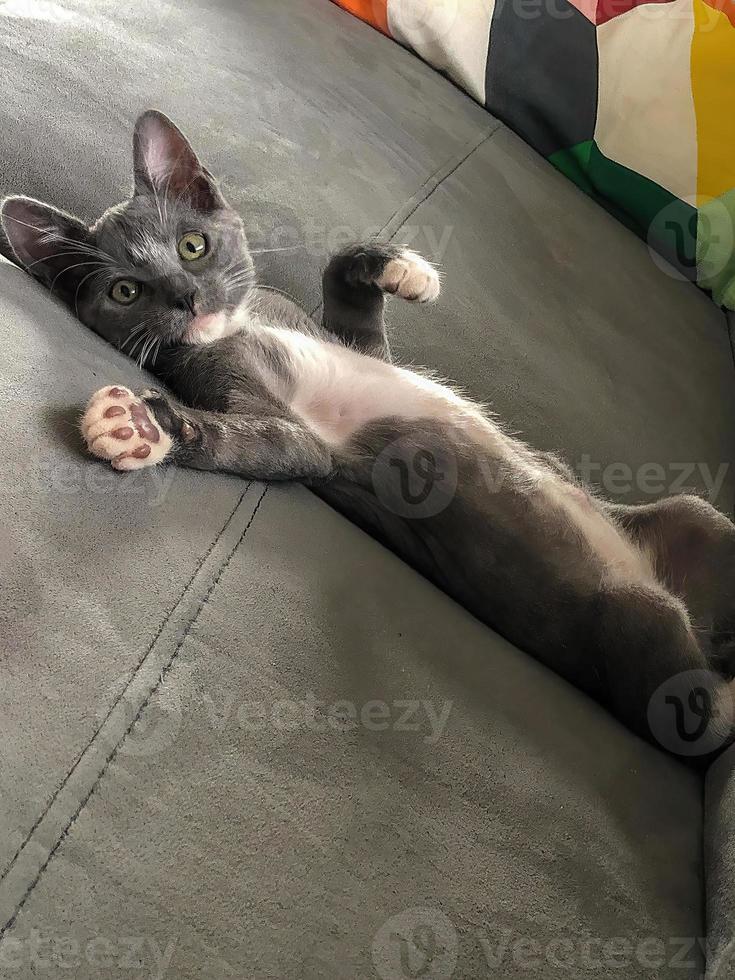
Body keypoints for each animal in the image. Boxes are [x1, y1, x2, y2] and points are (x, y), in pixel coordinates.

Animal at [1, 109, 735, 756]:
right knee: (703, 712)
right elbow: (260, 442)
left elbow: (344, 281)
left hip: (692, 517)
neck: (246, 326)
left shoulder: (355, 344)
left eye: (192, 244)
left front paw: (401, 268)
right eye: (126, 292)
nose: (187, 298)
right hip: (635, 624)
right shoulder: (300, 438)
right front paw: (138, 422)